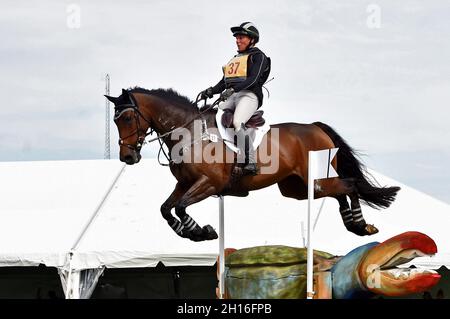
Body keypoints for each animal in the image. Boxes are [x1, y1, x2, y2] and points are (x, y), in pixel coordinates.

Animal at [105, 87, 400, 242]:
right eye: (115, 121)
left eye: (128, 118)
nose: (127, 158)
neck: (189, 133)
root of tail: (316, 127)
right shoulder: (185, 184)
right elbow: (166, 209)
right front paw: (194, 232)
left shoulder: (209, 184)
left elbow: (179, 207)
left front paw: (201, 231)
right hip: (298, 188)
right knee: (338, 191)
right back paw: (353, 224)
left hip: (311, 181)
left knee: (348, 185)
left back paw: (362, 225)